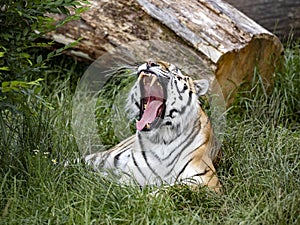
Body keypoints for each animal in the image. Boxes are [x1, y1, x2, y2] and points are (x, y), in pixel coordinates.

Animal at [84, 59, 220, 192]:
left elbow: (171, 189)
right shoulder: (130, 176)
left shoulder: (208, 180)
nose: (150, 62)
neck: (163, 138)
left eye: (175, 69)